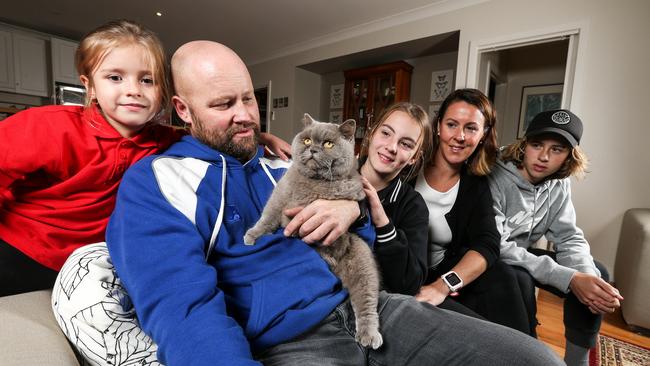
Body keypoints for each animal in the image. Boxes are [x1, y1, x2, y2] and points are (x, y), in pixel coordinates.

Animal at [243, 113, 380, 348]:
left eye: (328, 144)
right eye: (307, 140)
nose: (313, 149)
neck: (317, 184)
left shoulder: (353, 192)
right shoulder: (281, 198)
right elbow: (268, 216)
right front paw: (251, 237)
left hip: (362, 263)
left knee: (367, 302)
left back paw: (369, 335)